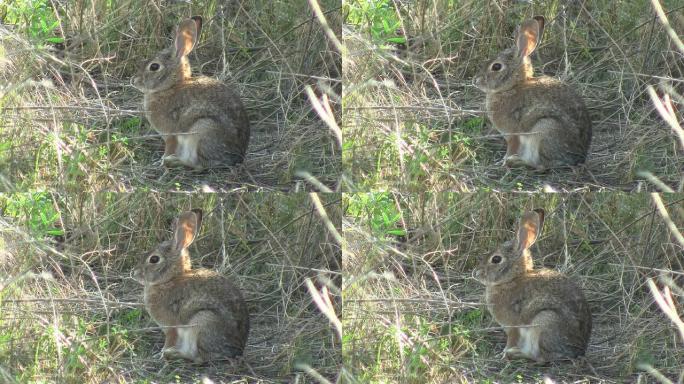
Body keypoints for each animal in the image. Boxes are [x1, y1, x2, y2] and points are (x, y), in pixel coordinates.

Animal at [131, 16, 251, 170]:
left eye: (154, 67)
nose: (134, 81)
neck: (171, 86)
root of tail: (237, 157)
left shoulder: (171, 134)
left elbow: (169, 148)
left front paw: (161, 162)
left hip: (202, 129)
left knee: (199, 165)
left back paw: (173, 161)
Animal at [131, 208, 248, 362]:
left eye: (154, 259)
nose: (134, 273)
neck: (170, 279)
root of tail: (237, 350)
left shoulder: (172, 327)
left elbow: (170, 340)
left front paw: (160, 354)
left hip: (203, 321)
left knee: (199, 358)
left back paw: (172, 354)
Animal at [472, 16, 592, 170]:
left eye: (496, 66)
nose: (475, 80)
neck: (512, 87)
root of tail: (578, 157)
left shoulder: (514, 134)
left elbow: (511, 148)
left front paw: (502, 162)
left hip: (545, 129)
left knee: (542, 165)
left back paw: (516, 161)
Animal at [472, 208, 592, 362]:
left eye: (496, 259)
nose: (476, 273)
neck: (512, 279)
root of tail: (579, 350)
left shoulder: (513, 326)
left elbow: (511, 340)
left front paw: (503, 354)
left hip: (544, 321)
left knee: (542, 357)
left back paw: (515, 353)